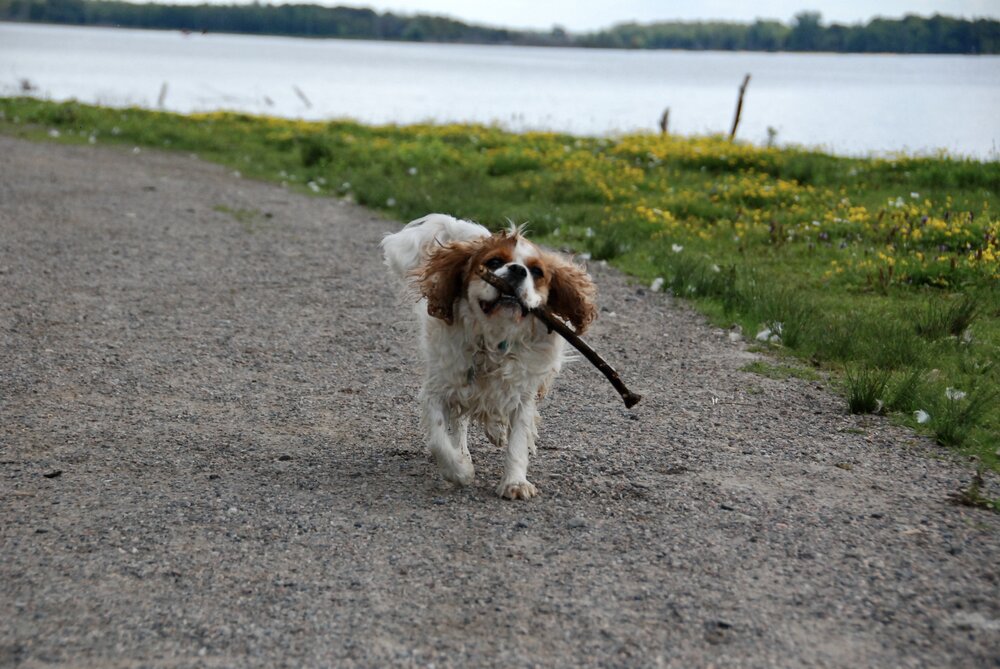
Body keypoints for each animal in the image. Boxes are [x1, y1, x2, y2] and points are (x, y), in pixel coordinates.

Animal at [380, 211, 592, 498]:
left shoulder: (522, 394)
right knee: (459, 423)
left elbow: (518, 440)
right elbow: (439, 438)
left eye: (537, 271)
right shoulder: (440, 388)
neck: (494, 337)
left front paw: (515, 482)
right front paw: (459, 470)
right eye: (493, 262)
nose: (517, 270)